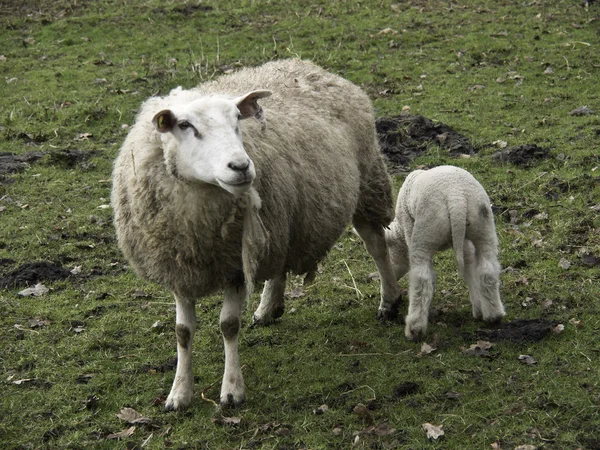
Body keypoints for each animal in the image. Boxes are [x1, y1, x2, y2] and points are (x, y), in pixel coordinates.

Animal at [112, 59, 404, 412]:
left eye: (237, 120)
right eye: (184, 125)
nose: (240, 166)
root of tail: (307, 65)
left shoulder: (236, 265)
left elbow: (228, 325)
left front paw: (232, 390)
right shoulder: (179, 267)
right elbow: (182, 331)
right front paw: (179, 393)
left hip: (367, 181)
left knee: (376, 246)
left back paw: (389, 301)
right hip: (281, 218)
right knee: (280, 261)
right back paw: (268, 308)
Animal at [382, 167, 504, 340]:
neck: (399, 232)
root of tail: (456, 197)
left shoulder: (409, 228)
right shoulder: (462, 240)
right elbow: (468, 265)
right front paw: (479, 308)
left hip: (425, 232)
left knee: (422, 279)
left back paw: (414, 328)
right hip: (483, 224)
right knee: (487, 269)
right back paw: (493, 315)